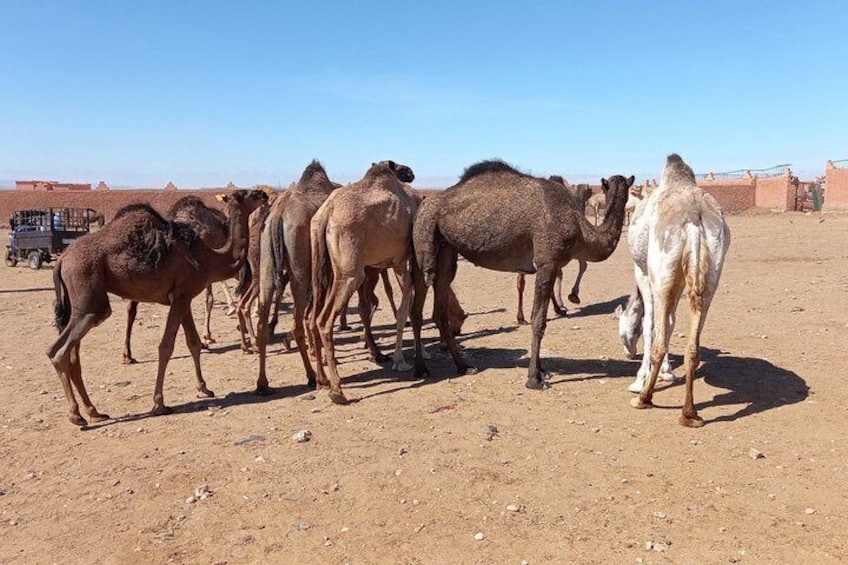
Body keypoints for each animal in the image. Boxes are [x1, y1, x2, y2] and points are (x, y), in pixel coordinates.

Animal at [308, 160, 419, 404]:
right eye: (401, 170)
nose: (411, 173)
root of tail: (326, 213)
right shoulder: (403, 259)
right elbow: (405, 308)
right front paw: (401, 360)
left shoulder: (393, 263)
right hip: (350, 272)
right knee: (324, 320)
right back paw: (337, 391)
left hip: (322, 268)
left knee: (312, 318)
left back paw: (321, 380)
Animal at [616, 154, 730, 427]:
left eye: (623, 332)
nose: (627, 354)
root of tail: (694, 218)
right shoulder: (678, 284)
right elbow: (670, 322)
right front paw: (668, 373)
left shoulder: (643, 273)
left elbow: (650, 324)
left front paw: (640, 378)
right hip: (710, 274)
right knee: (693, 342)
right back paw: (689, 412)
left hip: (661, 269)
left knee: (657, 336)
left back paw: (643, 398)